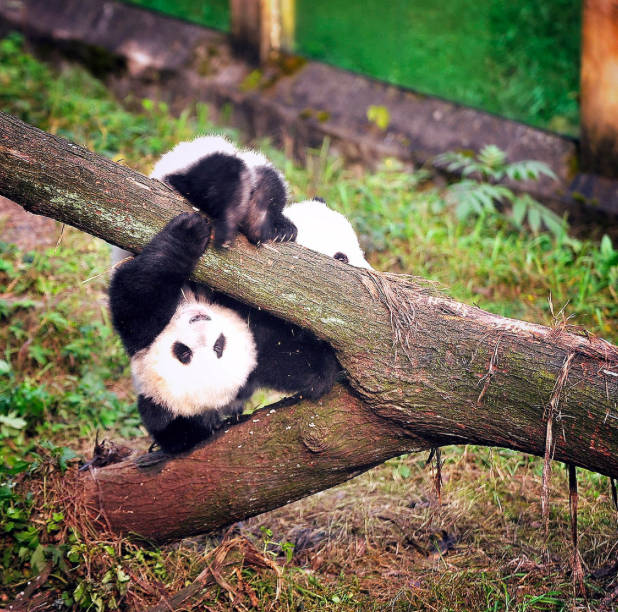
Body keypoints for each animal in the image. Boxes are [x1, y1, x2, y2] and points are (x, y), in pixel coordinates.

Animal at [108, 137, 368, 454]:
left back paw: (253, 213)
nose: (199, 321)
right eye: (184, 353)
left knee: (224, 172)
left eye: (218, 345)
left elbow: (136, 293)